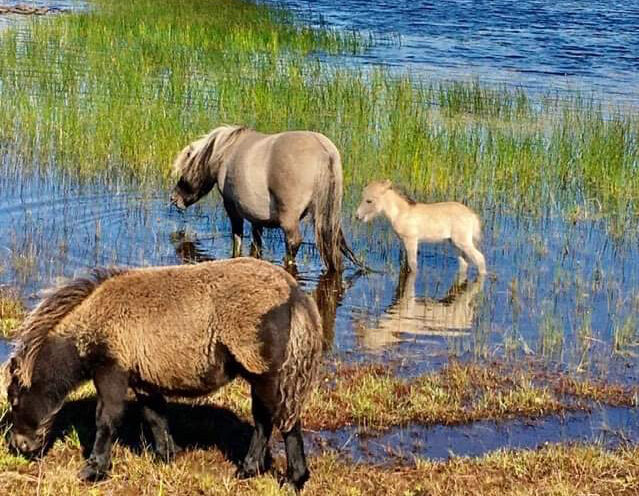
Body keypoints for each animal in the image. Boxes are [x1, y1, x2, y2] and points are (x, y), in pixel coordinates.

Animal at [6, 258, 320, 490]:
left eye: (14, 399)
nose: (17, 446)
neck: (95, 322)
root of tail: (294, 293)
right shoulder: (144, 382)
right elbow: (155, 416)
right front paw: (167, 455)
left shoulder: (111, 373)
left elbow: (106, 420)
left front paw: (93, 470)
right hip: (259, 378)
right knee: (266, 421)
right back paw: (249, 469)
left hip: (267, 376)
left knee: (283, 420)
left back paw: (293, 478)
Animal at [358, 180, 488, 278]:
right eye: (362, 197)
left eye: (369, 201)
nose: (357, 216)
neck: (401, 212)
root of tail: (472, 214)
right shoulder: (404, 242)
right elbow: (407, 264)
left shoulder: (411, 240)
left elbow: (413, 264)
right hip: (455, 243)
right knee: (464, 263)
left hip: (463, 242)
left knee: (480, 258)